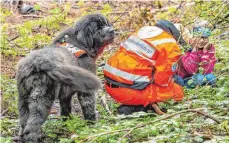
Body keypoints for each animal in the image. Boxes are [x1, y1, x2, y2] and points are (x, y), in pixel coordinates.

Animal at [16, 13, 114, 142]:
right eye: (98, 28)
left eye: (106, 23)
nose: (112, 30)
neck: (81, 43)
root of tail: (37, 62)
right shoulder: (86, 91)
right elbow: (88, 108)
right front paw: (92, 126)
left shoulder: (65, 95)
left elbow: (65, 110)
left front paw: (67, 124)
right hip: (42, 98)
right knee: (32, 125)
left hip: (23, 97)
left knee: (24, 122)